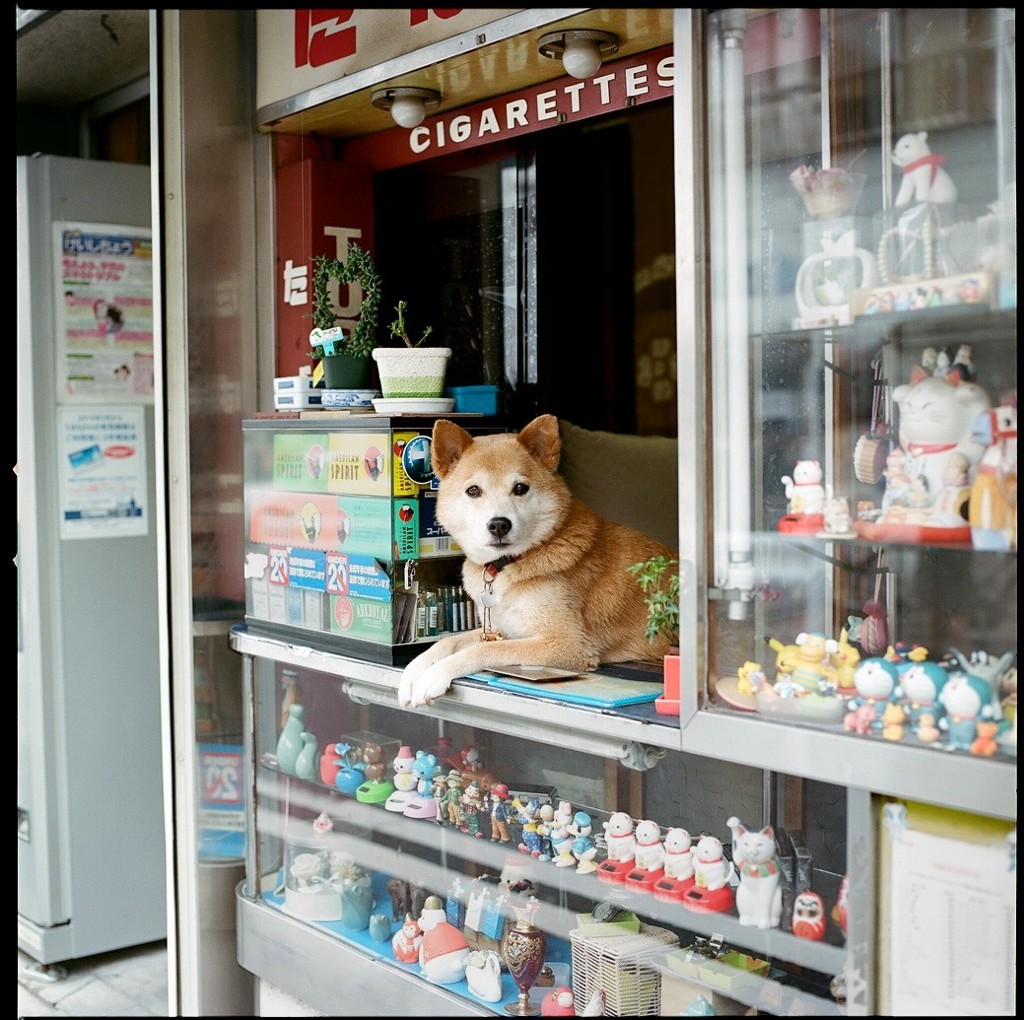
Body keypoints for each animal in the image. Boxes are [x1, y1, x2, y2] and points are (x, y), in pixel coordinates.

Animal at [395, 413, 675, 708]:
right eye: (473, 490)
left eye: (520, 488)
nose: (499, 524)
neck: (508, 564)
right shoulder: (498, 629)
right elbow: (446, 643)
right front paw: (413, 672)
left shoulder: (566, 643)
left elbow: (484, 649)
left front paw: (433, 677)